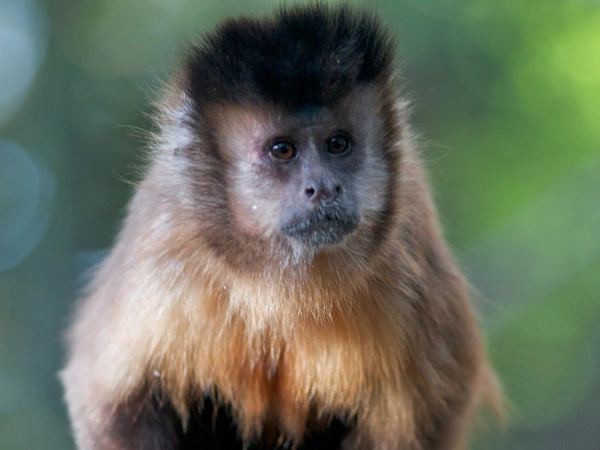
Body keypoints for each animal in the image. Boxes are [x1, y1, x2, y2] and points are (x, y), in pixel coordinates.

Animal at [61, 3, 502, 450]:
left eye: (338, 144)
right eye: (282, 150)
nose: (324, 187)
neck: (282, 286)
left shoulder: (410, 247)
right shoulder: (162, 257)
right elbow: (109, 402)